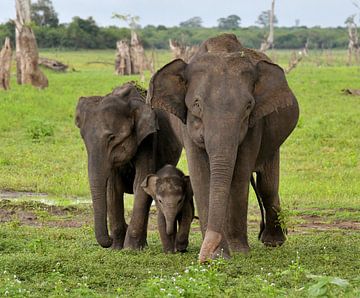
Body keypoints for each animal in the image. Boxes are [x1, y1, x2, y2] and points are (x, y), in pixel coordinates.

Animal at [76, 82, 183, 250]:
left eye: (112, 138)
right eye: (83, 138)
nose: (109, 240)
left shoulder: (148, 140)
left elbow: (140, 181)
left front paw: (130, 249)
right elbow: (113, 188)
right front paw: (116, 248)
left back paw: (141, 246)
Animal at [148, 35, 300, 262]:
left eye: (248, 105)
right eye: (197, 104)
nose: (204, 259)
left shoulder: (254, 124)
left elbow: (238, 175)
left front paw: (237, 251)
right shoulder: (187, 124)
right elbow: (201, 175)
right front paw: (218, 253)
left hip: (273, 140)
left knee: (267, 185)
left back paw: (273, 242)